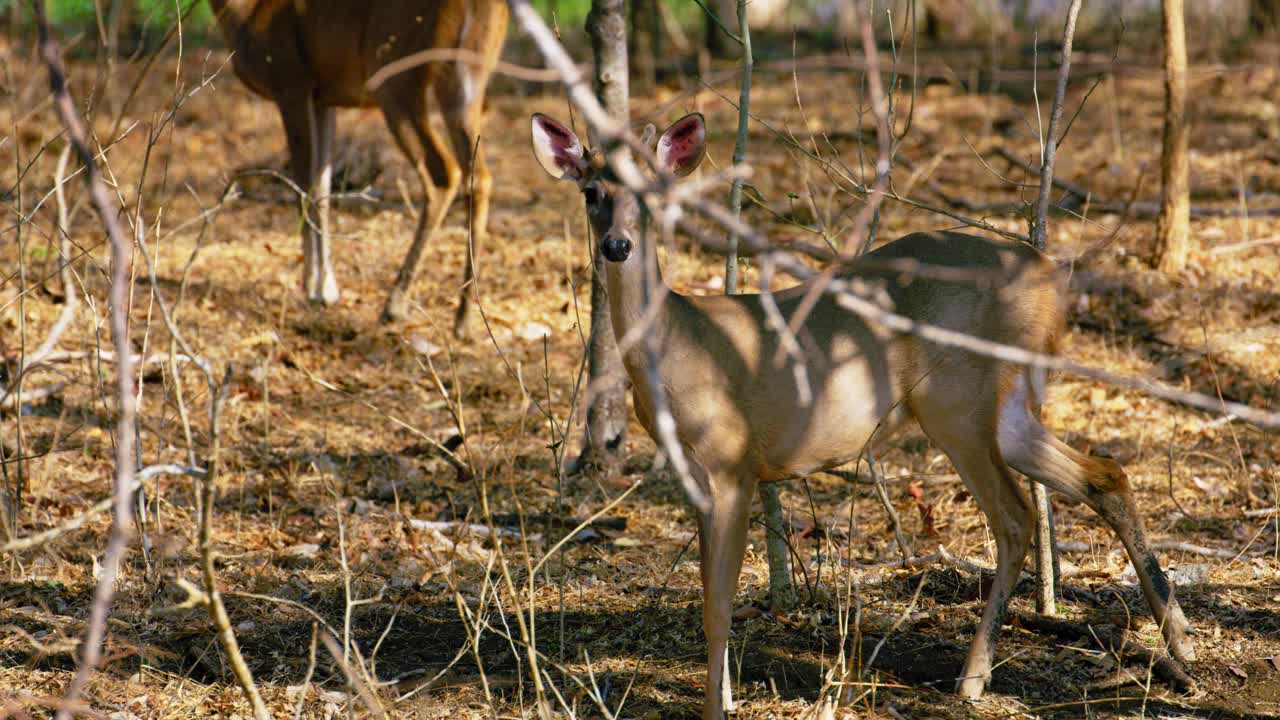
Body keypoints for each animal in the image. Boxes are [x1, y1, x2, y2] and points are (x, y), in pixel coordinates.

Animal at [212, 0, 506, 330]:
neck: (244, 12)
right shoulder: (323, 98)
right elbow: (322, 189)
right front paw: (326, 288)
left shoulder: (291, 81)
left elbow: (303, 188)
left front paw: (314, 290)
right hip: (466, 79)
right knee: (480, 177)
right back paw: (464, 318)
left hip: (395, 73)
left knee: (443, 174)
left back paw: (395, 306)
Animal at [529, 110, 1198, 712]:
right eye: (591, 192)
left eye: (650, 194)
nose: (618, 245)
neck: (678, 345)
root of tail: (1052, 279)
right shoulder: (695, 476)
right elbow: (707, 596)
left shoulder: (733, 462)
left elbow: (718, 606)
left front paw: (718, 707)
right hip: (1004, 405)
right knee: (1105, 473)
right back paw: (1180, 642)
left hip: (956, 400)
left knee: (1015, 517)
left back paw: (972, 679)